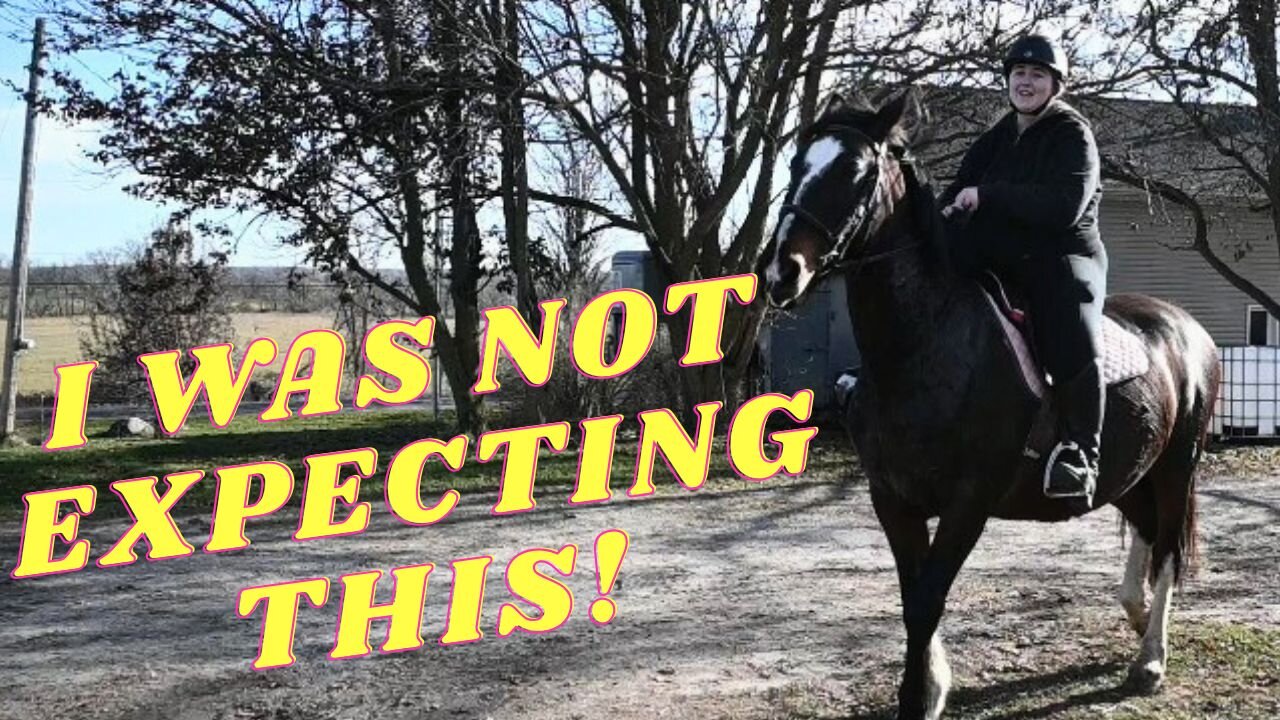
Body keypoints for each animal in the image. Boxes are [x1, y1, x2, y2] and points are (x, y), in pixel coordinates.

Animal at [760, 91, 1220, 720]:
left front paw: (920, 696)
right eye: (796, 164)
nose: (782, 272)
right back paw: (1139, 616)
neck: (927, 344)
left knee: (1169, 547)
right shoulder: (892, 498)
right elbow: (914, 595)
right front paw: (931, 688)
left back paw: (1150, 659)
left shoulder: (968, 502)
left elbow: (926, 600)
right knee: (1148, 536)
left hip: (1176, 467)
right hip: (1130, 474)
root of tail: (1188, 329)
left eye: (855, 172)